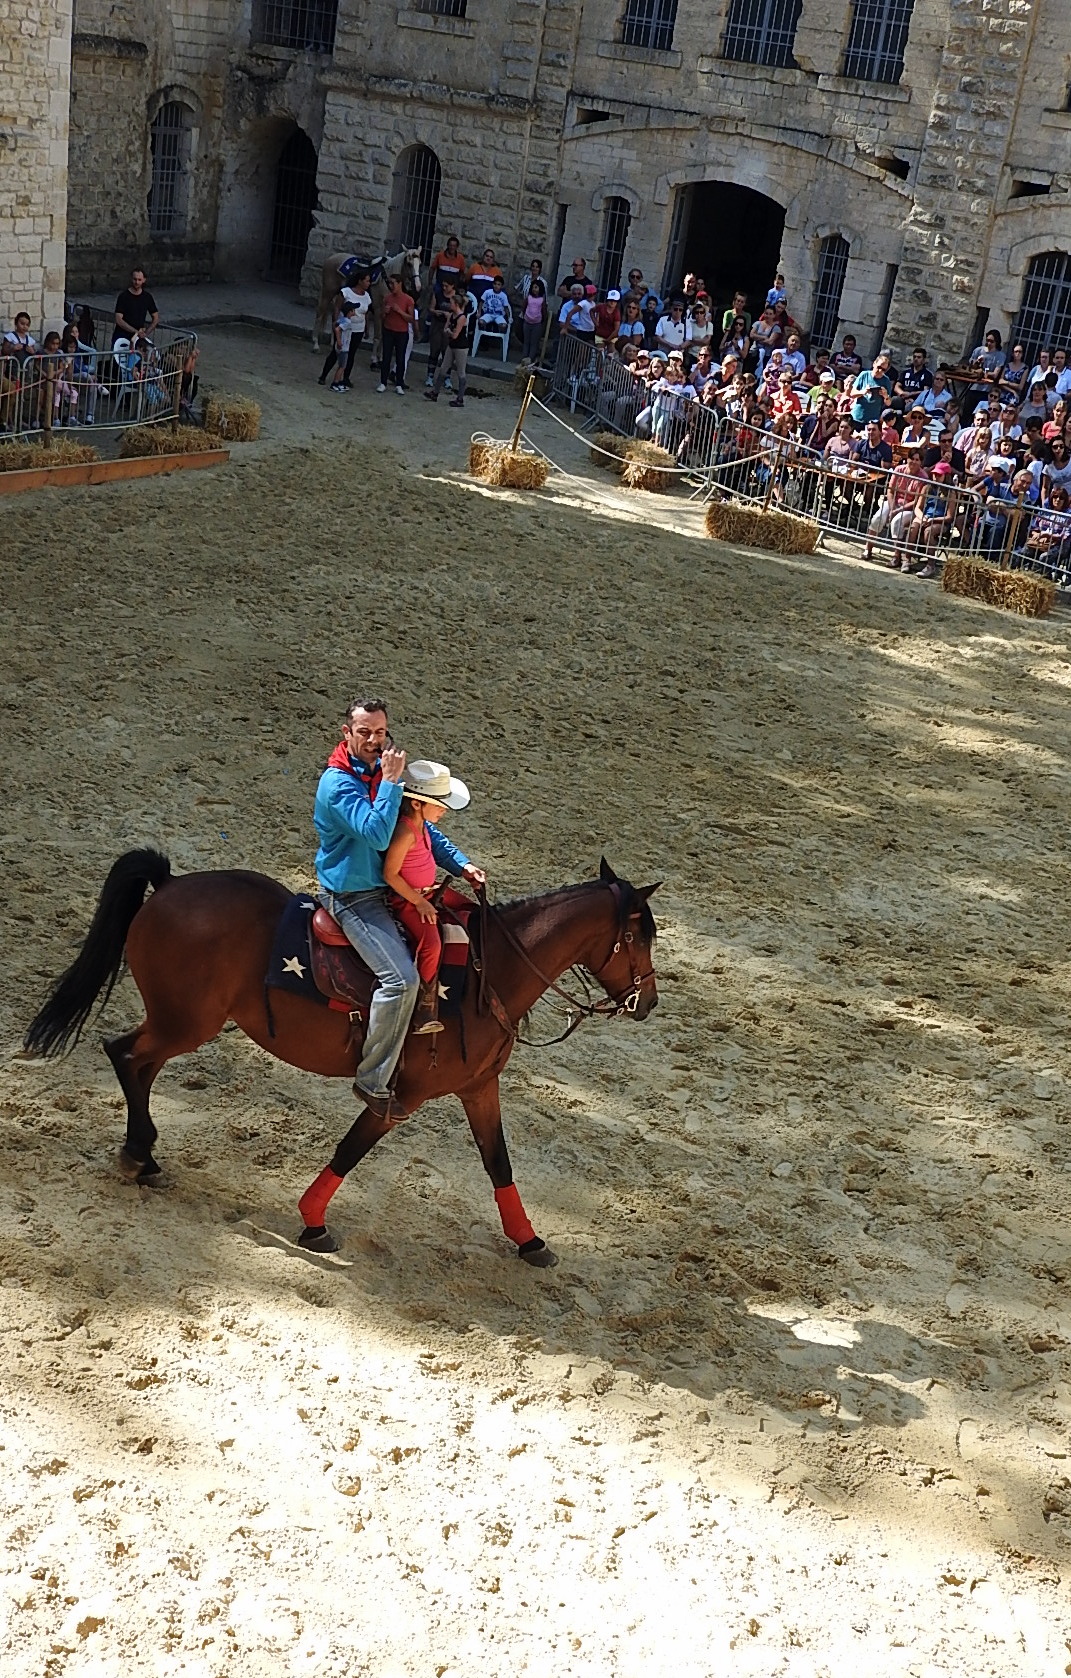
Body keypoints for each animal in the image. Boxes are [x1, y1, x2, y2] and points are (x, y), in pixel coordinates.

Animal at [24, 853, 659, 1266]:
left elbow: (498, 1164)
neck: (489, 971)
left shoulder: (480, 1088)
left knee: (137, 1064)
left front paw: (530, 1241)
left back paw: (146, 1155)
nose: (648, 1003)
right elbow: (350, 1150)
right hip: (184, 1023)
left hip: (179, 1023)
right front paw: (312, 1222)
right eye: (638, 937)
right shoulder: (400, 1096)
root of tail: (172, 884)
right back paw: (137, 1155)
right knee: (126, 1054)